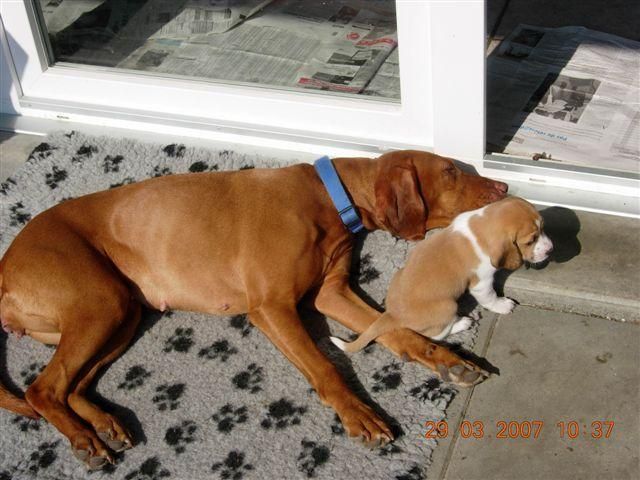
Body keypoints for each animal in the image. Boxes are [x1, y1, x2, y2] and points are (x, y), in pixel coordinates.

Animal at [0, 150, 507, 468]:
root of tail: (4, 267)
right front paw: (358, 414)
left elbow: (399, 333)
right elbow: (326, 366)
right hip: (100, 304)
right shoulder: (272, 307)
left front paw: (450, 362)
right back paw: (84, 439)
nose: (503, 184)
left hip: (123, 314)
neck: (329, 197)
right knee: (42, 389)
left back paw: (105, 423)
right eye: (451, 171)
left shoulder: (332, 294)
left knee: (71, 387)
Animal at [331, 197, 553, 353]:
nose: (550, 249)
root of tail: (393, 315)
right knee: (437, 336)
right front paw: (503, 305)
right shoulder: (481, 284)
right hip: (448, 306)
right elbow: (490, 298)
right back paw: (463, 322)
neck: (480, 228)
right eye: (531, 240)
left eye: (544, 228)